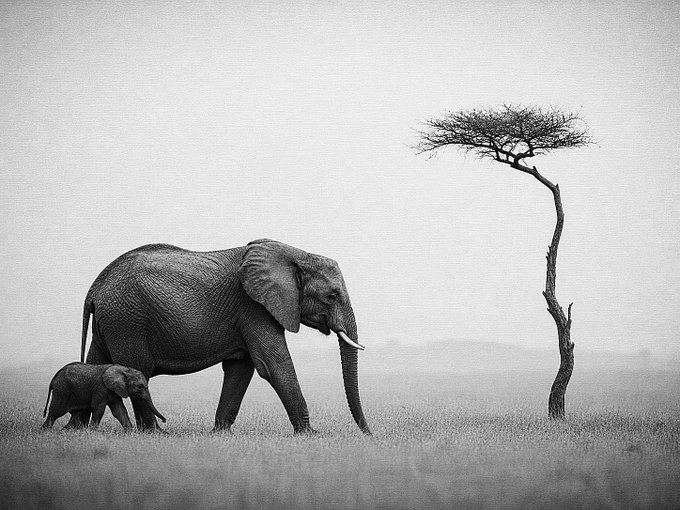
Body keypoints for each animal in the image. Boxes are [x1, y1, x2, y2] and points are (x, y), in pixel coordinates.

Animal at [72, 239, 370, 435]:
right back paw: (154, 434)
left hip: (112, 321)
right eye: (331, 296)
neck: (296, 254)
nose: (368, 434)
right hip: (127, 319)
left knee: (94, 365)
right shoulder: (254, 307)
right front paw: (310, 435)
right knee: (138, 370)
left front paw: (220, 434)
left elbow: (241, 368)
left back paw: (74, 430)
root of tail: (94, 289)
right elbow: (272, 365)